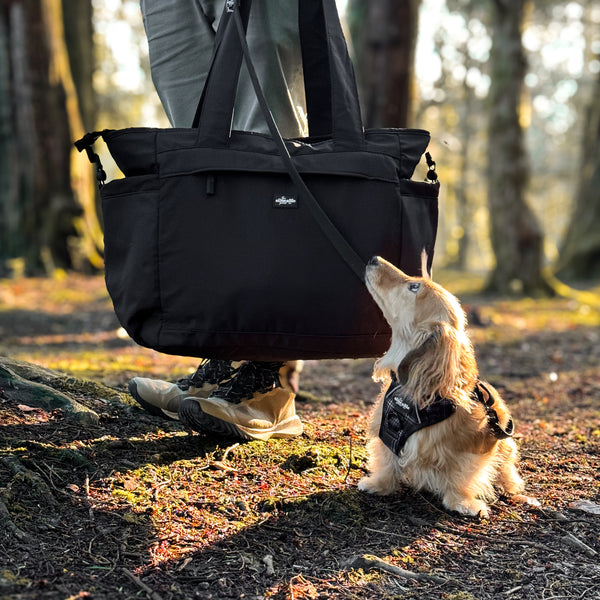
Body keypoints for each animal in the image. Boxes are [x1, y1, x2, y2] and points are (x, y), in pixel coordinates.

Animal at [356, 254, 540, 516]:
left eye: (414, 287)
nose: (374, 258)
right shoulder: (387, 433)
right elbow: (387, 462)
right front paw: (378, 484)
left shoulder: (471, 451)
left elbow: (461, 477)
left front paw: (462, 502)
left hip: (506, 447)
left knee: (506, 473)